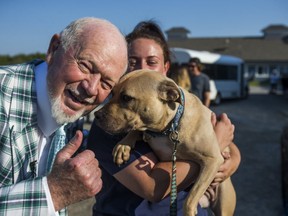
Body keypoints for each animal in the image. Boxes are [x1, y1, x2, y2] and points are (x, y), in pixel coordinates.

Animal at [94, 69, 236, 216]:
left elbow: (190, 199)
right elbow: (135, 130)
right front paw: (124, 145)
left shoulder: (212, 160)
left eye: (126, 98)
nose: (96, 115)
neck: (168, 128)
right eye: (112, 93)